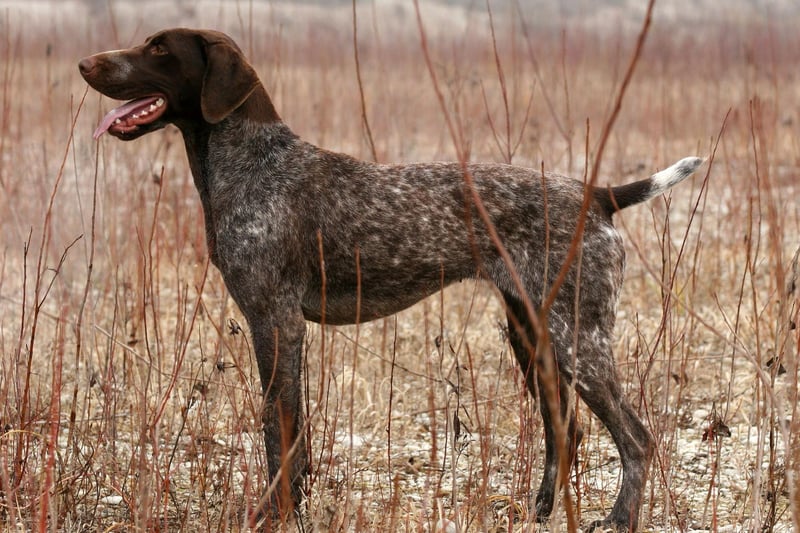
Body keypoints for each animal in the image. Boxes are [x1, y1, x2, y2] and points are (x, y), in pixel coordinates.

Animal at [78, 28, 704, 528]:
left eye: (159, 49)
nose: (85, 64)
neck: (251, 165)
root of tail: (599, 196)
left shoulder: (275, 322)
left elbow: (279, 430)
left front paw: (273, 515)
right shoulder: (282, 327)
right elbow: (294, 432)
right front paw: (294, 507)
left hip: (578, 338)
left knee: (636, 437)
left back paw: (619, 519)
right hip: (533, 334)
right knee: (565, 430)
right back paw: (540, 511)